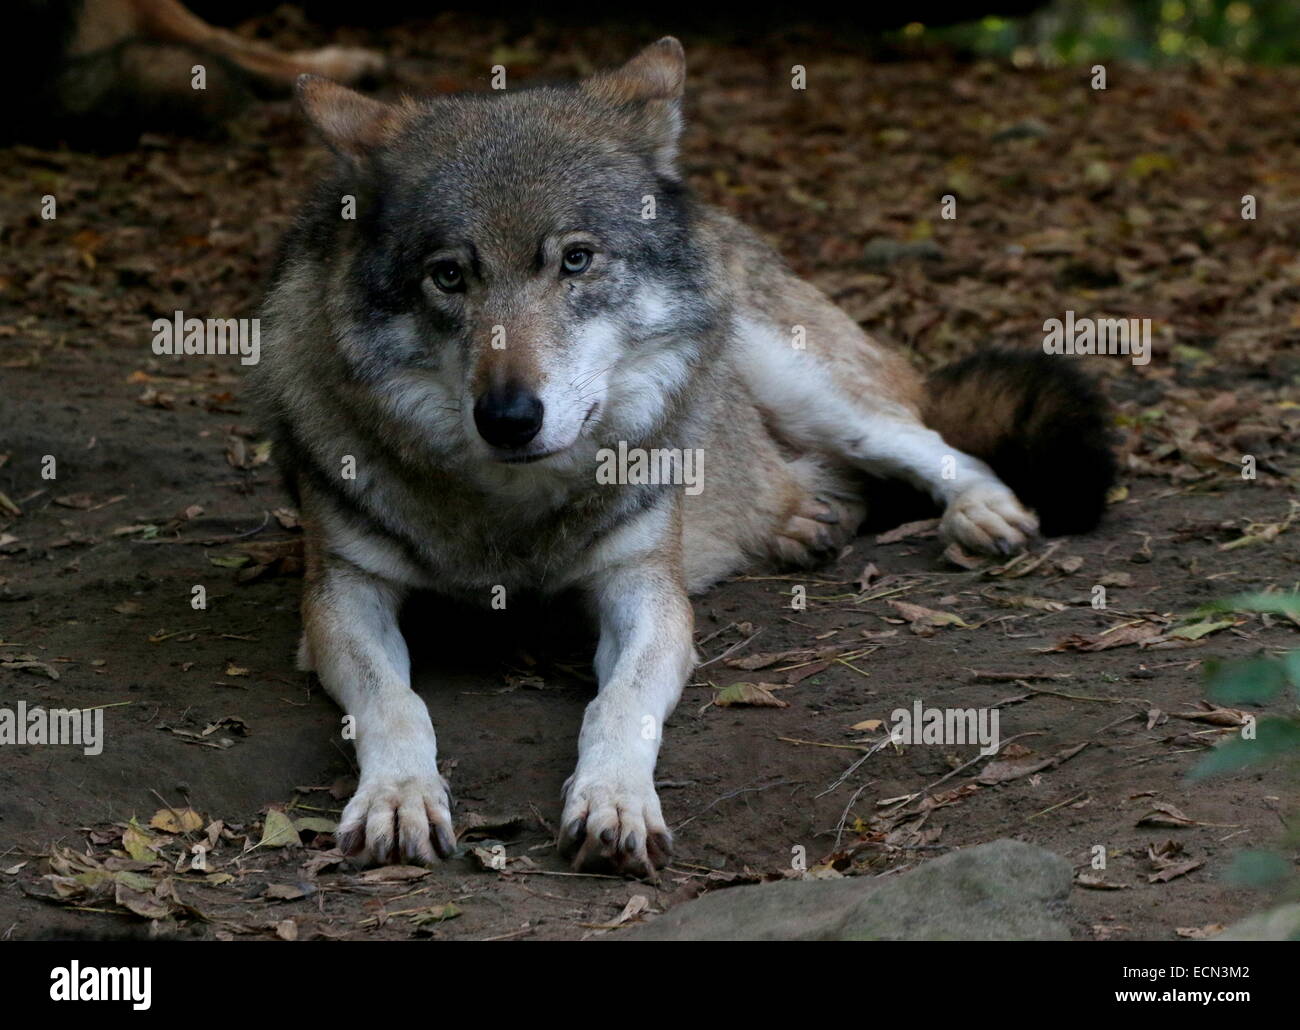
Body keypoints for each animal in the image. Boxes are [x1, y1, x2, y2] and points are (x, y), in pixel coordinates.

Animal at [253, 38, 1118, 879]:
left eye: (575, 260)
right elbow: (395, 703)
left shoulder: (645, 590)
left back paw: (979, 512)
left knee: (924, 438)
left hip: (802, 381)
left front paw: (613, 804)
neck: (510, 514)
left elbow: (619, 703)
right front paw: (399, 798)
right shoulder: (341, 597)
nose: (508, 419)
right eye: (449, 275)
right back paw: (805, 520)